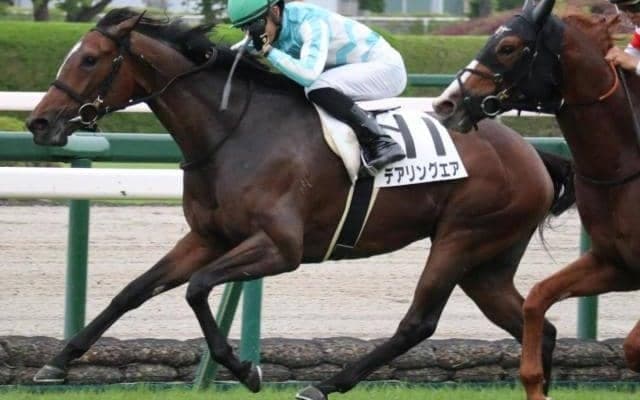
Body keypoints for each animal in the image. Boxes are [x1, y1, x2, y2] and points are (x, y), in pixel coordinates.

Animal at [26, 8, 575, 400]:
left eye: (90, 59)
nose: (39, 122)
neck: (233, 130)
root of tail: (532, 154)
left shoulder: (280, 248)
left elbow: (198, 289)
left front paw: (244, 368)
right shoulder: (207, 237)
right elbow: (133, 291)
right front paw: (58, 361)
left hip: (463, 237)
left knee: (418, 323)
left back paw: (323, 385)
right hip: (487, 264)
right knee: (538, 326)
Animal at [432, 1, 640, 399]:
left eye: (508, 47)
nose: (446, 104)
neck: (624, 165)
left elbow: (633, 346)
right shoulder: (616, 263)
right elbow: (536, 299)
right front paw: (536, 383)